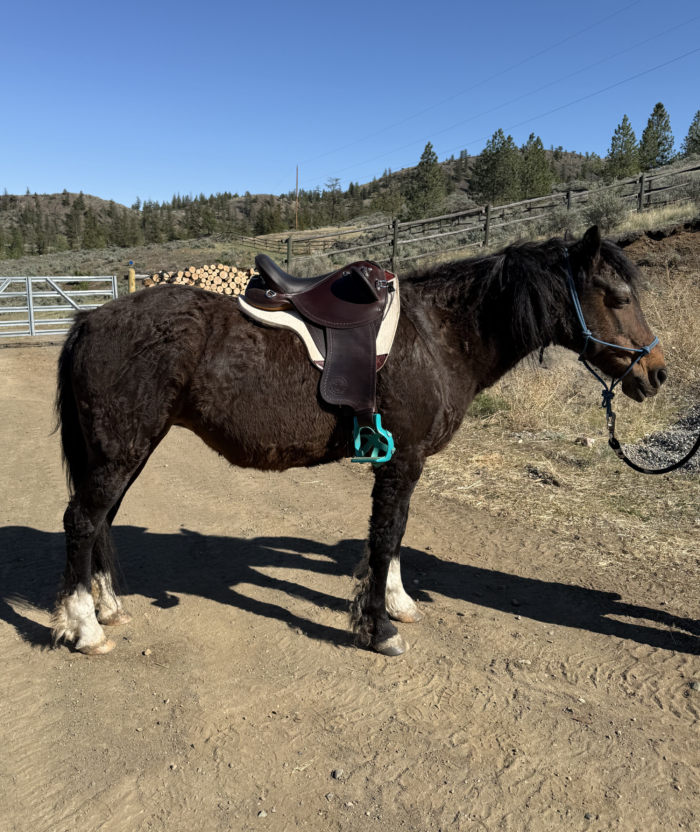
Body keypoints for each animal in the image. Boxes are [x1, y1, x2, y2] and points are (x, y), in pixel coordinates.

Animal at [52, 226, 667, 657]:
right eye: (616, 297)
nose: (657, 373)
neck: (438, 335)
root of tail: (90, 320)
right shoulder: (402, 458)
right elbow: (385, 534)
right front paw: (378, 628)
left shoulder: (405, 461)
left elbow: (394, 536)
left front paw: (397, 602)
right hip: (120, 451)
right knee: (82, 521)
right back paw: (84, 628)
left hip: (127, 453)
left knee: (102, 520)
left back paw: (107, 608)